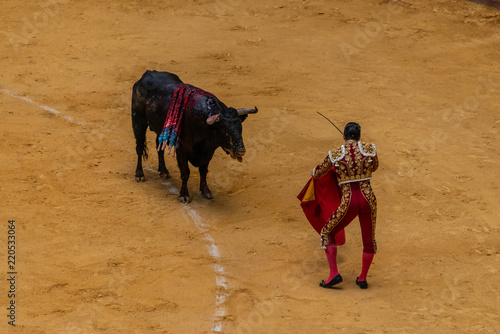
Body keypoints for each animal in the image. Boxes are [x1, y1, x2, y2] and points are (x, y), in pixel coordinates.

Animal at [132, 69, 258, 202]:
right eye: (225, 130)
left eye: (240, 127)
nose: (240, 151)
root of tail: (148, 72)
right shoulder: (182, 149)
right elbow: (185, 172)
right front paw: (184, 195)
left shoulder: (208, 151)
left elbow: (203, 170)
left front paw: (206, 192)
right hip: (138, 121)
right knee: (139, 147)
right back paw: (139, 174)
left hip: (160, 127)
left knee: (159, 146)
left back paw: (164, 172)